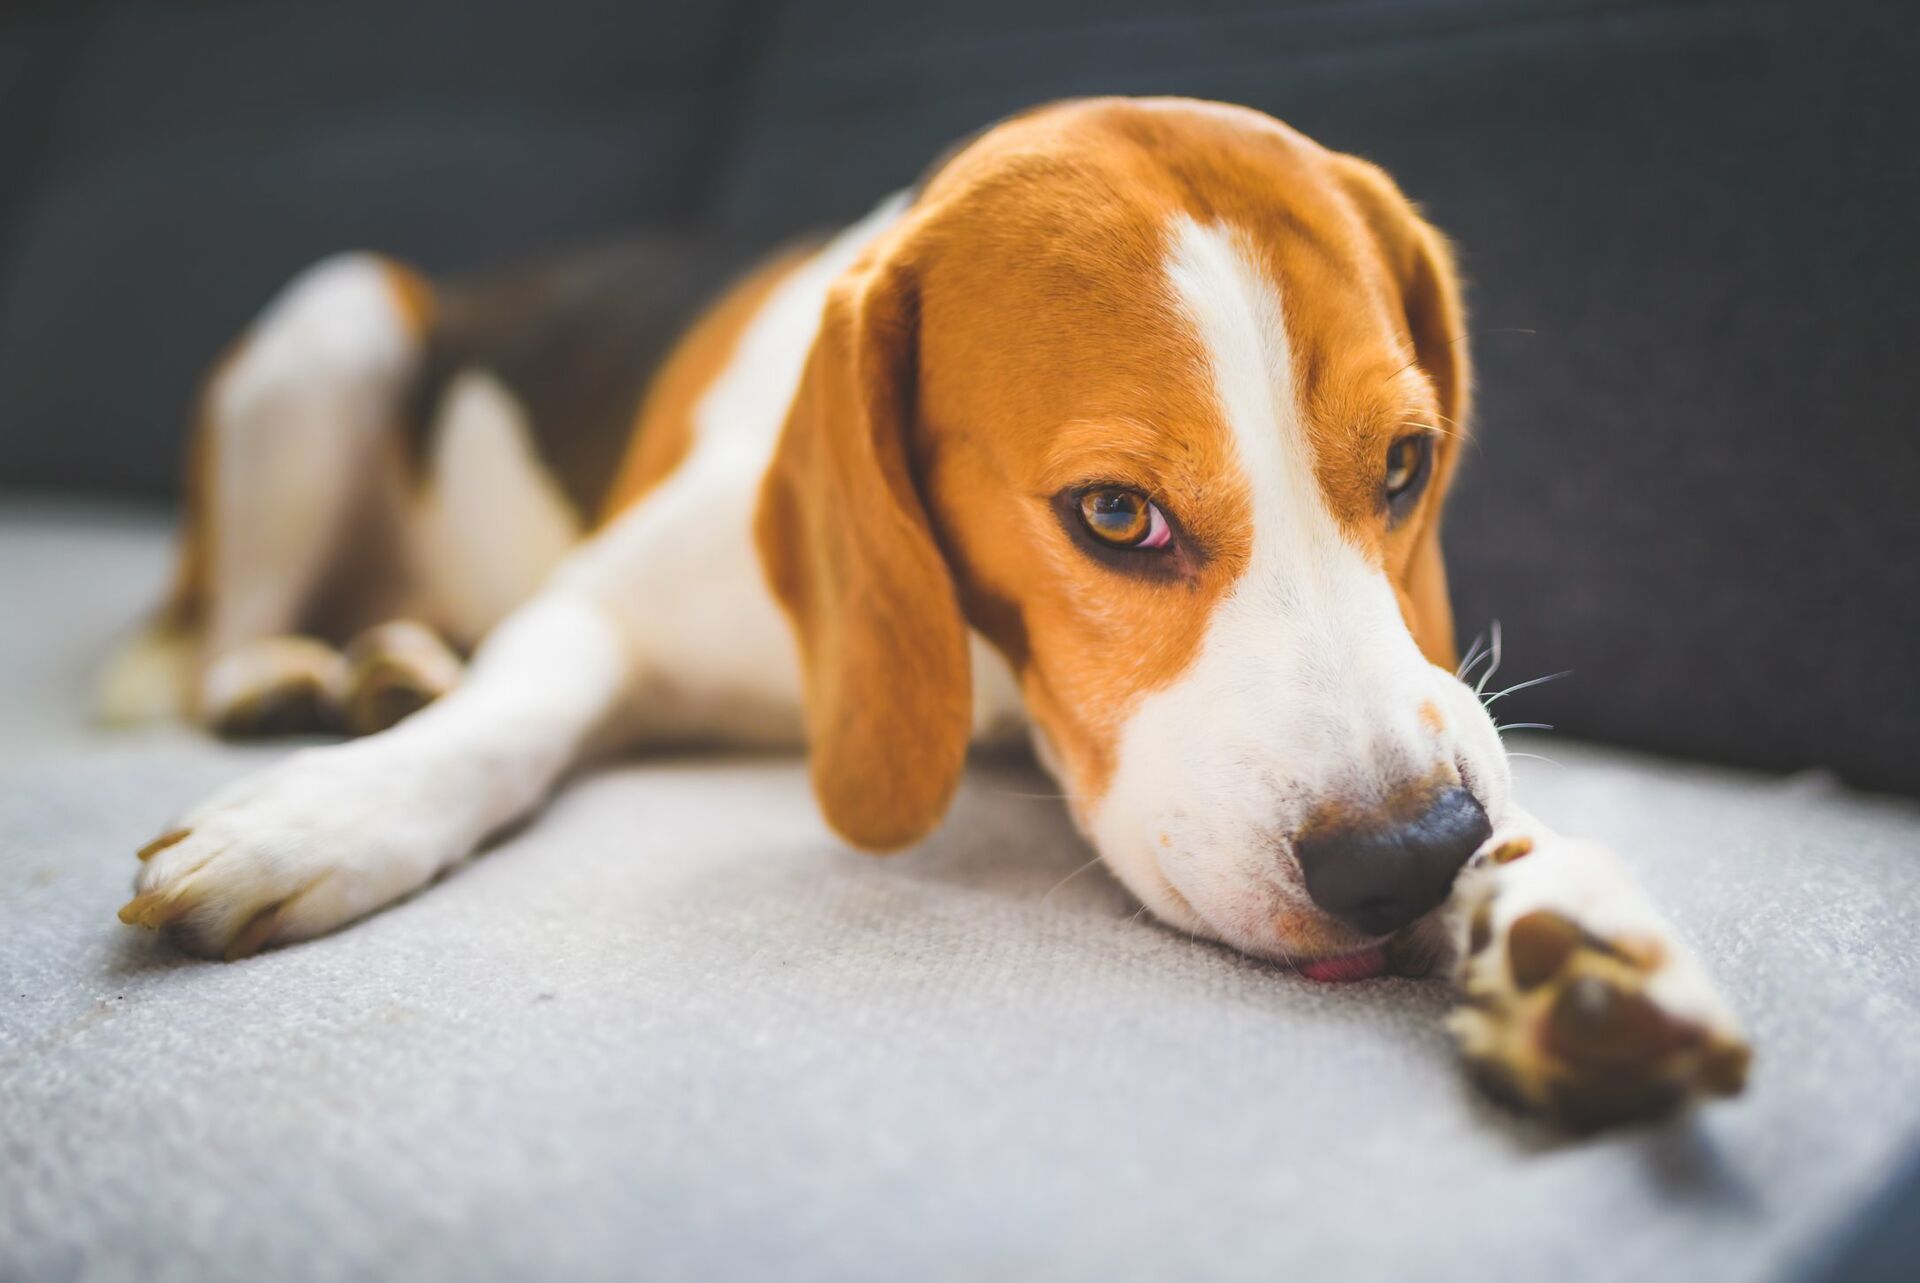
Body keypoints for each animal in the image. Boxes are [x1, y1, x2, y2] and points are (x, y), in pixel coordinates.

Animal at [105, 97, 1758, 1121]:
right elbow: (508, 719)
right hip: (328, 324)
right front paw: (325, 812)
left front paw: (1569, 924)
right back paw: (310, 680)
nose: (1408, 860)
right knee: (213, 637)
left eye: (1409, 463)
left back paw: (390, 657)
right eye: (1115, 515)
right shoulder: (597, 604)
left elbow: (1505, 793)